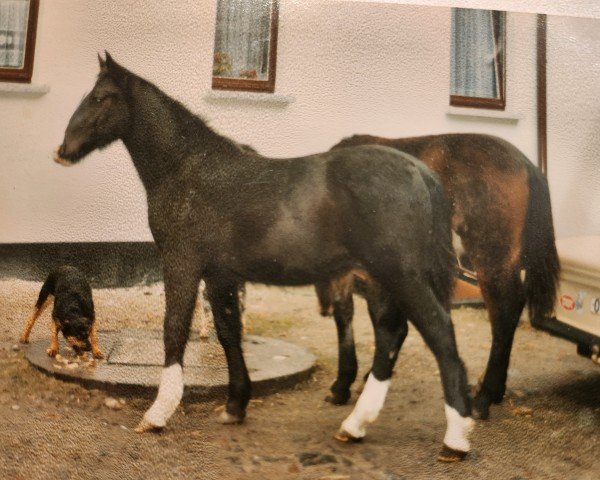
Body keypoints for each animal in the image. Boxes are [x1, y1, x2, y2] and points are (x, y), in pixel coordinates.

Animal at [57, 55, 474, 462]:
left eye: (100, 97)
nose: (63, 150)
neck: (189, 169)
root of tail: (421, 173)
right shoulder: (220, 276)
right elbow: (228, 333)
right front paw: (235, 406)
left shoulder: (182, 265)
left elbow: (174, 329)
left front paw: (158, 413)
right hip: (382, 280)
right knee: (392, 334)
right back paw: (355, 425)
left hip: (403, 276)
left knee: (440, 334)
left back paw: (455, 439)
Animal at [318, 133, 564, 418]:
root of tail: (526, 164)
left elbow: (356, 318)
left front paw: (345, 383)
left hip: (490, 258)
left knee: (504, 312)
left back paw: (484, 397)